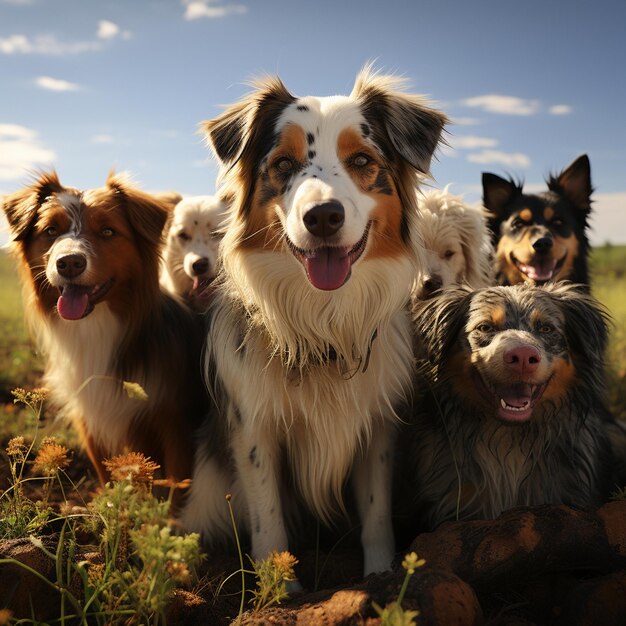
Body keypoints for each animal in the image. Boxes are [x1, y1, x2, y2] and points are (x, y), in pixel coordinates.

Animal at [1, 171, 207, 482]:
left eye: (108, 232)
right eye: (51, 230)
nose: (69, 263)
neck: (94, 327)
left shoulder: (174, 424)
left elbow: (176, 484)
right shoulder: (92, 421)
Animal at [178, 69, 446, 576]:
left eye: (361, 160)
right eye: (283, 164)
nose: (322, 216)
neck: (324, 321)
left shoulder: (376, 427)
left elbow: (376, 513)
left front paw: (380, 575)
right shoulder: (254, 430)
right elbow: (267, 521)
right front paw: (280, 585)